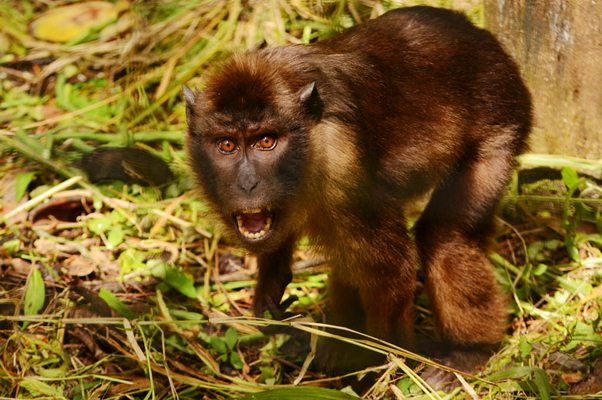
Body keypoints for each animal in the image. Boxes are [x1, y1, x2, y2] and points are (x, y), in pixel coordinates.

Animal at [184, 5, 528, 388]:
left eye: (266, 141)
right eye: (227, 145)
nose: (247, 184)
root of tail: (486, 41)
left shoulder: (343, 163)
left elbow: (391, 271)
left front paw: (380, 359)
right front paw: (269, 287)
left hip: (501, 121)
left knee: (444, 235)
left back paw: (469, 352)